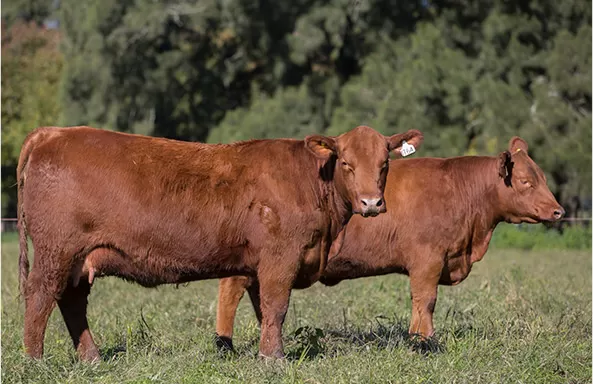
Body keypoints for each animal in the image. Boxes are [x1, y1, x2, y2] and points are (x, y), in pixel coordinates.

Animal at [216, 135, 564, 348]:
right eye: (525, 182)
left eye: (543, 178)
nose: (558, 211)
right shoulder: (428, 258)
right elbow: (426, 300)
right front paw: (425, 342)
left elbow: (419, 302)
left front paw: (416, 339)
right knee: (230, 292)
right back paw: (224, 344)